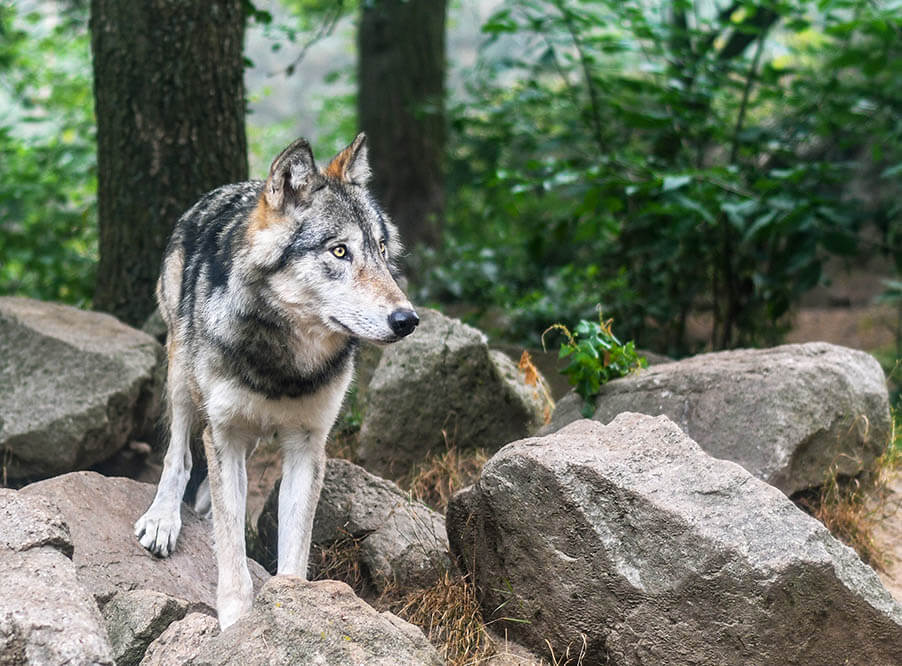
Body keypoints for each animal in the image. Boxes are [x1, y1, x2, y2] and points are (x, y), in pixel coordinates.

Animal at [133, 132, 420, 624]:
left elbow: (294, 548)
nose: (408, 319)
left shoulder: (308, 445)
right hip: (181, 374)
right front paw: (236, 623)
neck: (285, 365)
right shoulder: (224, 433)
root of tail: (228, 188)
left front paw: (292, 609)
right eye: (339, 251)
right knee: (179, 454)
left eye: (382, 251)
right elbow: (232, 549)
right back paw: (164, 517)